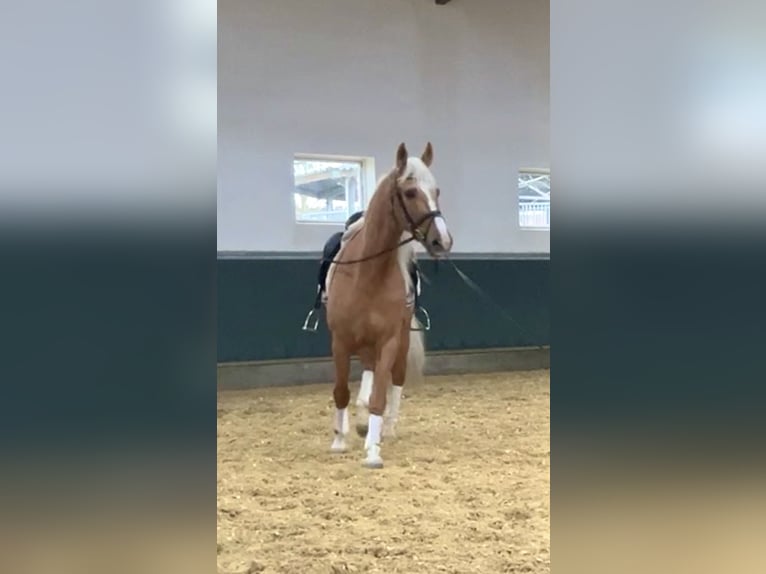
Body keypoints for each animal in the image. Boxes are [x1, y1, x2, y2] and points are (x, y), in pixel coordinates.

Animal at [324, 141, 453, 468]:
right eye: (410, 192)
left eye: (437, 190)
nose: (443, 241)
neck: (368, 274)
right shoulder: (340, 341)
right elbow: (341, 391)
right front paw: (339, 440)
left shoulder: (389, 340)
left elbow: (380, 397)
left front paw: (373, 450)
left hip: (400, 340)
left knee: (397, 379)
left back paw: (387, 428)